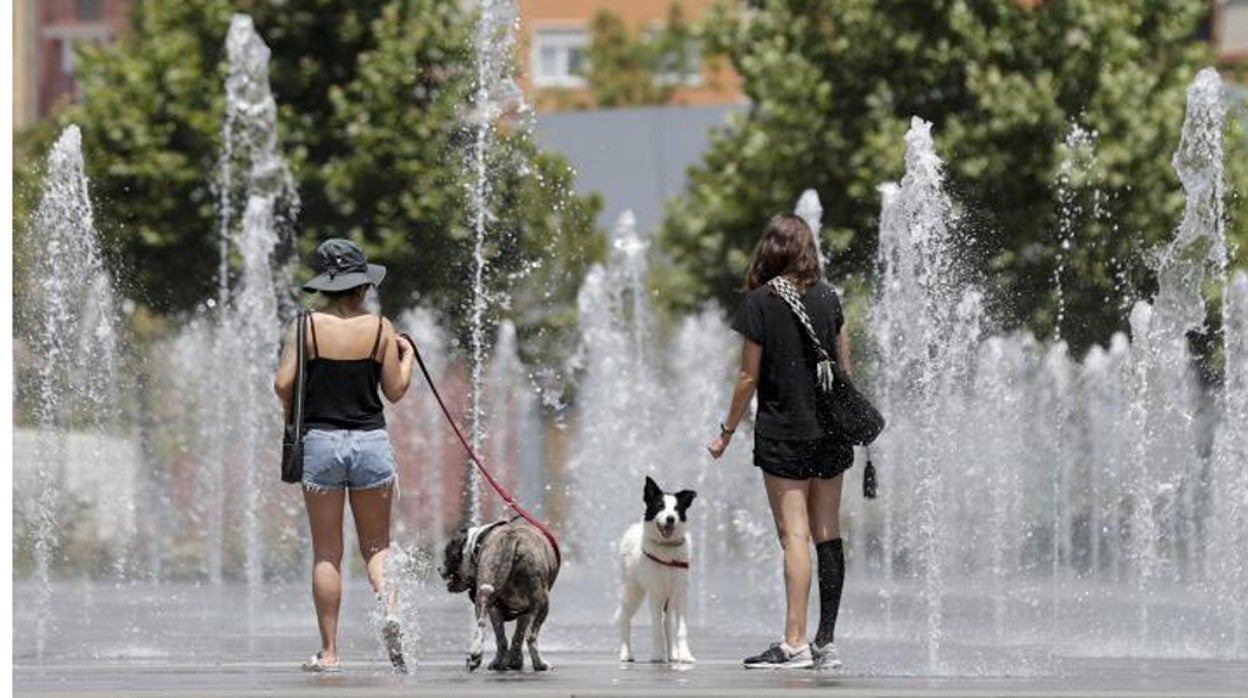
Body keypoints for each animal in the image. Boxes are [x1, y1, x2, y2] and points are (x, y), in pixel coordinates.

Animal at [436, 519, 559, 674]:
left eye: (446, 553)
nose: (439, 568)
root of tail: (511, 537)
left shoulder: (501, 608)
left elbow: (505, 637)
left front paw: (509, 661)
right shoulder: (526, 612)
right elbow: (518, 635)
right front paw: (515, 661)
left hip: (487, 594)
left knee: (484, 624)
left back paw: (477, 656)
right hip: (542, 603)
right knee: (531, 637)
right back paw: (540, 664)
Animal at [616, 474, 703, 664]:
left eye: (677, 509)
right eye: (659, 506)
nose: (670, 518)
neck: (667, 548)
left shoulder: (681, 591)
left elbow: (680, 628)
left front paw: (684, 655)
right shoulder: (654, 592)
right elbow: (656, 628)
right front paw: (657, 655)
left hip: (669, 597)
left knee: (667, 622)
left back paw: (673, 654)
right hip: (631, 589)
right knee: (624, 618)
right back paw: (626, 653)